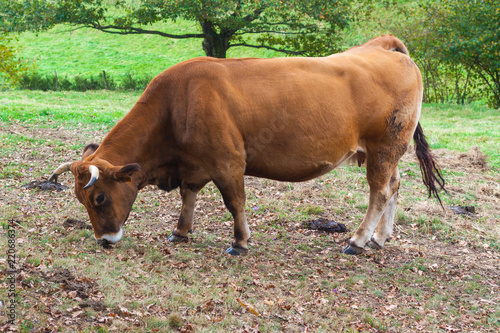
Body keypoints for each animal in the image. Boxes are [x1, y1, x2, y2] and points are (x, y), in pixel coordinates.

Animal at [48, 35, 444, 254]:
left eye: (99, 198)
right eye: (80, 199)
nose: (105, 240)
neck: (177, 102)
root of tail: (384, 47)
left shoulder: (228, 162)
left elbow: (234, 202)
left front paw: (239, 242)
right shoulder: (193, 164)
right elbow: (189, 196)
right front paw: (181, 232)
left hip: (383, 149)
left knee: (380, 191)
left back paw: (358, 241)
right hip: (386, 154)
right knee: (394, 186)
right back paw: (380, 238)